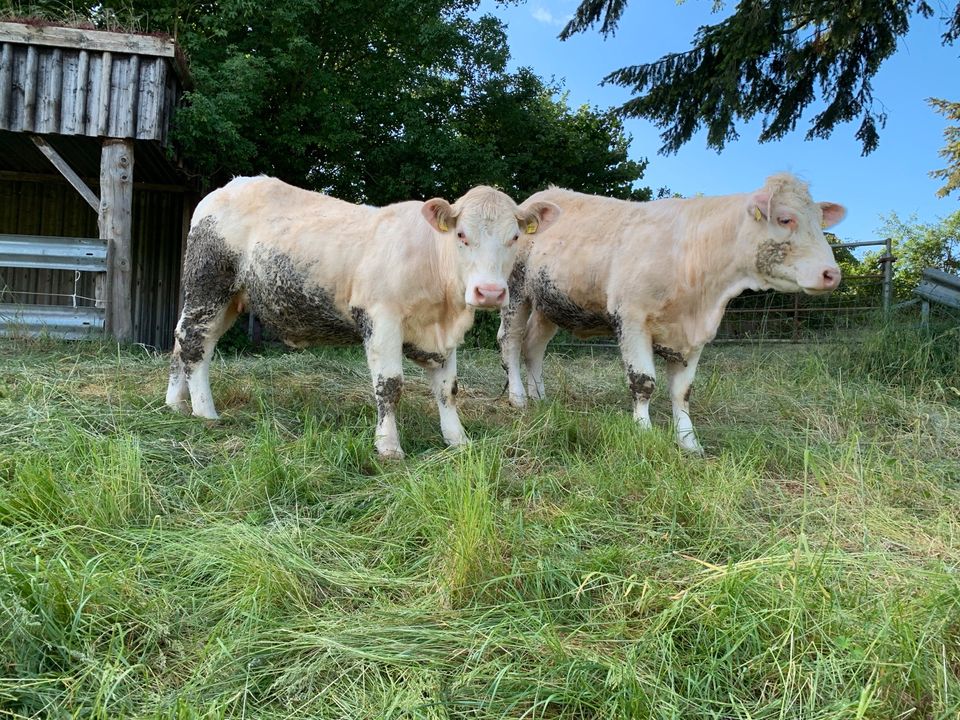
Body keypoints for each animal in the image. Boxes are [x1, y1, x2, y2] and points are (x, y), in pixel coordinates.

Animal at [163, 177, 556, 458]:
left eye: (514, 237)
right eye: (461, 235)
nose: (489, 292)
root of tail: (225, 188)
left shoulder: (442, 335)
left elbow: (448, 389)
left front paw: (457, 440)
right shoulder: (381, 319)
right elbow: (390, 385)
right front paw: (389, 446)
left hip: (229, 299)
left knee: (184, 342)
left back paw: (176, 404)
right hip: (209, 286)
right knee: (195, 343)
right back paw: (205, 412)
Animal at [498, 172, 844, 452]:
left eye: (819, 222)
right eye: (785, 219)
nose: (832, 274)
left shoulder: (694, 335)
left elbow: (682, 392)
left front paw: (689, 442)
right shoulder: (632, 319)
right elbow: (643, 382)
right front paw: (643, 431)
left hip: (548, 304)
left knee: (534, 346)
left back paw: (540, 398)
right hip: (515, 291)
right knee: (511, 341)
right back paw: (518, 398)